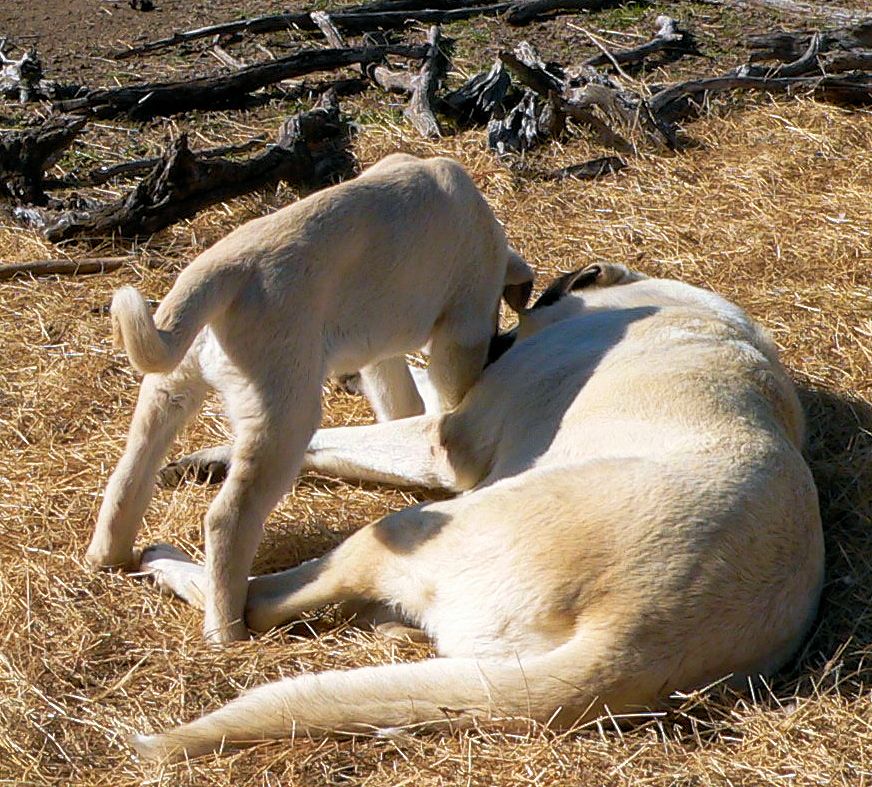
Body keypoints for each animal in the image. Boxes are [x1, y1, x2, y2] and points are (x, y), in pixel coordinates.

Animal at [85, 155, 536, 648]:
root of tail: (221, 270)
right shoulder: (462, 330)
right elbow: (443, 394)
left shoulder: (378, 352)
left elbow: (398, 403)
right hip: (284, 418)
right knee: (227, 519)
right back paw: (227, 632)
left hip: (168, 389)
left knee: (129, 475)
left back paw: (108, 556)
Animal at [129, 264, 824, 764]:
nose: (495, 338)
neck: (681, 308)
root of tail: (638, 638)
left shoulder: (447, 441)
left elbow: (334, 436)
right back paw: (395, 633)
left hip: (405, 527)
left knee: (258, 603)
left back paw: (167, 564)